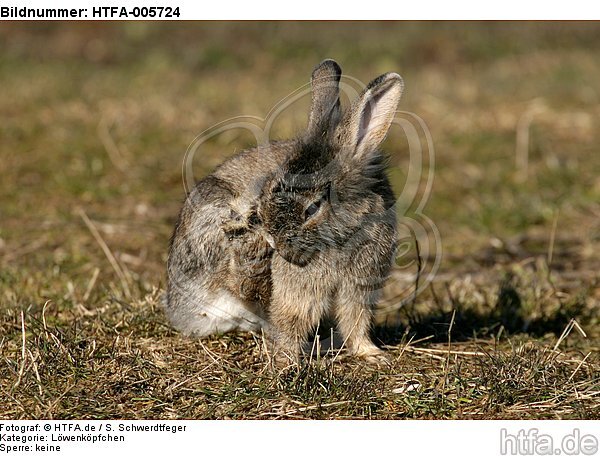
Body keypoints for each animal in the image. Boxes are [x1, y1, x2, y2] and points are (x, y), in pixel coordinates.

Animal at [164, 58, 404, 366]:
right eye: (271, 186)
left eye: (313, 207)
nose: (273, 240)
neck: (344, 235)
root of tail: (179, 310)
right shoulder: (298, 289)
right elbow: (292, 319)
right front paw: (287, 361)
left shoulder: (360, 288)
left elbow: (356, 321)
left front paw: (371, 354)